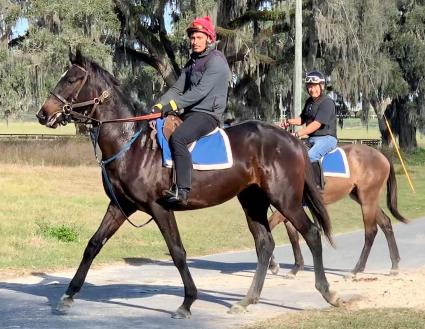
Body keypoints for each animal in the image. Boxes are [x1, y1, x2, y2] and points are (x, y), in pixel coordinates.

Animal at [36, 50, 342, 318]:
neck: (132, 143)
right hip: (253, 201)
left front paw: (187, 302)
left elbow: (178, 252)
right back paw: (247, 300)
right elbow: (93, 244)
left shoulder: (159, 208)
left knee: (312, 233)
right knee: (265, 244)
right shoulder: (120, 205)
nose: (43, 114)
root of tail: (291, 139)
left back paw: (328, 292)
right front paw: (68, 295)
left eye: (72, 79)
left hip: (285, 200)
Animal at [268, 145, 408, 276]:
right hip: (364, 199)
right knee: (385, 223)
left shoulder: (288, 209)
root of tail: (379, 153)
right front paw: (295, 267)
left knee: (371, 231)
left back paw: (357, 269)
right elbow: (293, 237)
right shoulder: (287, 211)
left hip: (368, 199)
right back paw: (394, 265)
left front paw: (273, 265)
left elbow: (269, 228)